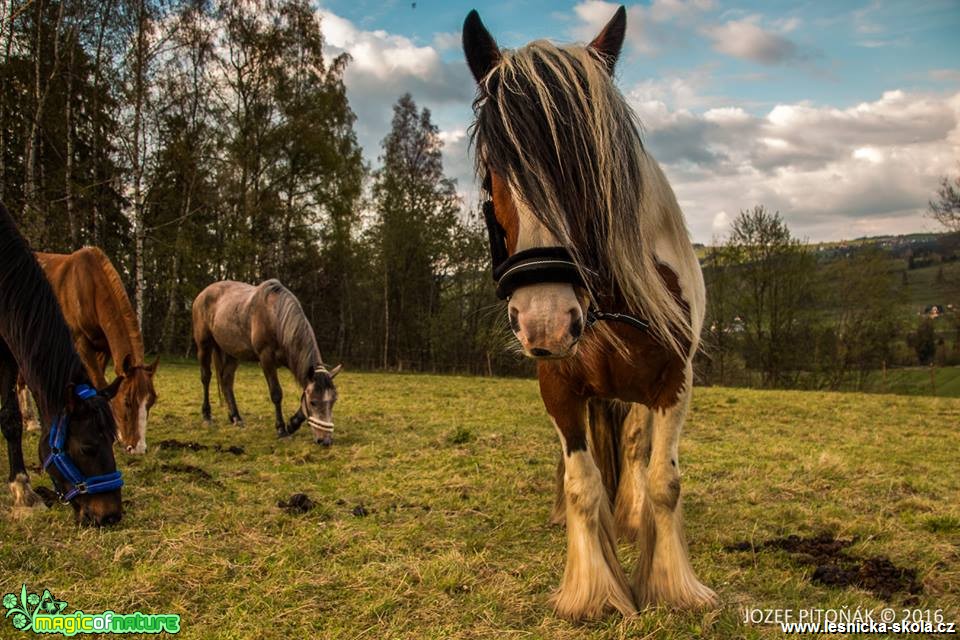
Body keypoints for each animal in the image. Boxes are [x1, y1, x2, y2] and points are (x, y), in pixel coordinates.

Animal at [0, 204, 124, 524]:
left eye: (113, 441)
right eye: (88, 447)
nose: (111, 516)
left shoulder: (8, 351)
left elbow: (10, 419)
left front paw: (22, 491)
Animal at [22, 248, 158, 452]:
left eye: (151, 401)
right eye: (127, 401)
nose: (138, 448)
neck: (88, 288)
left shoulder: (103, 348)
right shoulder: (80, 344)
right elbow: (99, 381)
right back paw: (30, 420)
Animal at [190, 280, 342, 444]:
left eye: (333, 401)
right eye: (313, 402)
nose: (325, 441)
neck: (275, 317)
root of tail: (203, 294)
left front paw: (292, 424)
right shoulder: (266, 359)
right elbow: (276, 393)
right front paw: (282, 429)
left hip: (231, 352)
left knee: (227, 381)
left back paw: (236, 417)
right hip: (204, 345)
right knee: (206, 377)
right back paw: (207, 416)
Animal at [462, 6, 716, 620]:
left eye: (589, 169)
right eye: (492, 169)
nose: (545, 319)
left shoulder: (674, 383)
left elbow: (663, 480)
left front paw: (672, 586)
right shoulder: (558, 383)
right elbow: (582, 481)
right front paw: (592, 591)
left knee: (635, 448)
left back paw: (630, 517)